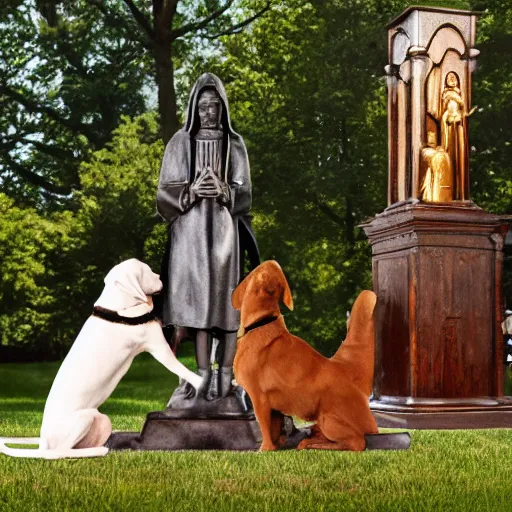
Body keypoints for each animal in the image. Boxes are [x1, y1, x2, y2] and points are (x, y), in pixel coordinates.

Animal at [0, 260, 203, 460]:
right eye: (147, 271)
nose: (161, 277)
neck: (119, 308)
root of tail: (43, 443)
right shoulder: (159, 348)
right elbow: (180, 368)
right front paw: (200, 382)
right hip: (84, 419)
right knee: (60, 452)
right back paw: (98, 451)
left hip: (102, 421)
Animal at [232, 262, 376, 450]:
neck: (260, 323)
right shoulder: (274, 410)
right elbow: (274, 432)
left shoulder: (260, 399)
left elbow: (265, 431)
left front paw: (264, 450)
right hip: (319, 425)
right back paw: (308, 443)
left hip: (328, 420)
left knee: (357, 442)